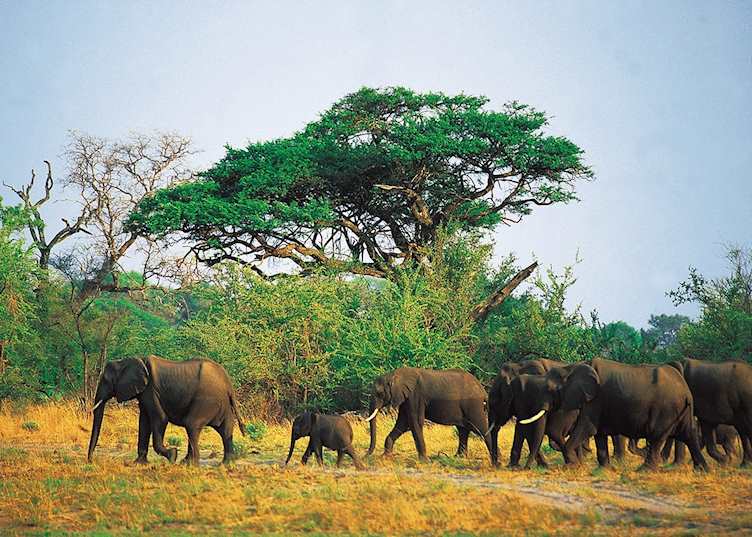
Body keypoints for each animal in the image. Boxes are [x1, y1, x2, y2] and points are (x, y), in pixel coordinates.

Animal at [87, 355, 246, 465]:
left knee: (192, 425)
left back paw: (190, 464)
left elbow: (160, 419)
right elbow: (144, 422)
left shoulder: (151, 391)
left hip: (207, 399)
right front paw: (139, 463)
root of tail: (228, 383)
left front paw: (172, 455)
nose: (90, 461)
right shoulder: (144, 394)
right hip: (222, 403)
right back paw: (224, 464)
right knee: (225, 430)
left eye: (106, 380)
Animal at [364, 367, 494, 464]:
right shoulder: (406, 399)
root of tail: (482, 389)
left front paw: (424, 461)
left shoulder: (415, 396)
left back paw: (494, 458)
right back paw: (458, 457)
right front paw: (385, 457)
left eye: (379, 393)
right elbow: (403, 423)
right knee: (463, 430)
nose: (365, 455)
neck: (394, 374)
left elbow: (415, 422)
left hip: (473, 405)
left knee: (481, 429)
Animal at [519, 358, 708, 470]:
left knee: (657, 436)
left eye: (551, 390)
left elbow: (587, 428)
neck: (571, 367)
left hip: (666, 409)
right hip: (680, 410)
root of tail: (686, 390)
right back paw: (702, 469)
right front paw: (604, 469)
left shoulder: (595, 400)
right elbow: (599, 434)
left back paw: (644, 470)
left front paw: (572, 466)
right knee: (688, 433)